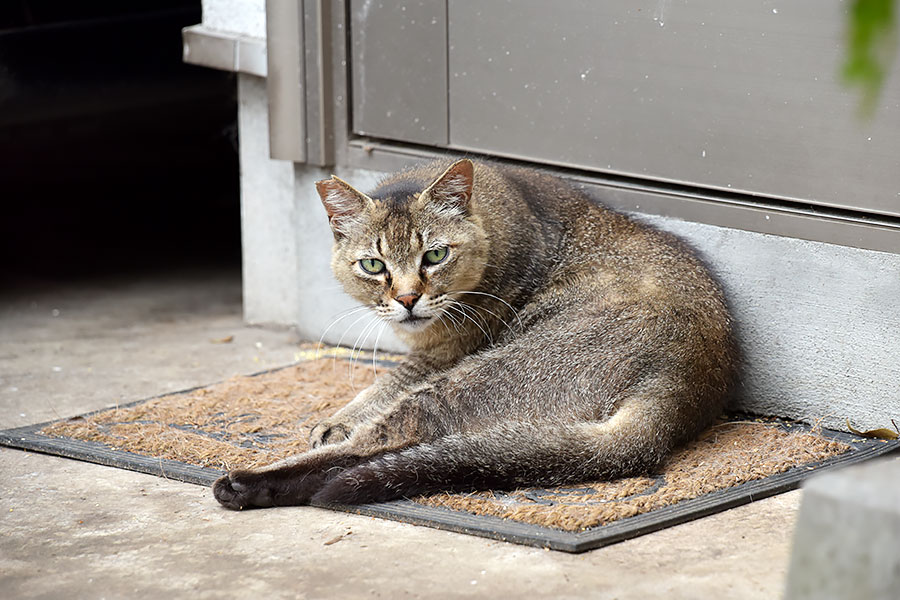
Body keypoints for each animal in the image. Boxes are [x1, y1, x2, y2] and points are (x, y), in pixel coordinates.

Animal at [213, 158, 740, 506]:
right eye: (373, 266)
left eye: (435, 255)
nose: (407, 299)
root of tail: (680, 387)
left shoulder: (444, 353)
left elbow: (386, 385)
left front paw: (340, 419)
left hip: (481, 378)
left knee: (388, 442)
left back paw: (247, 484)